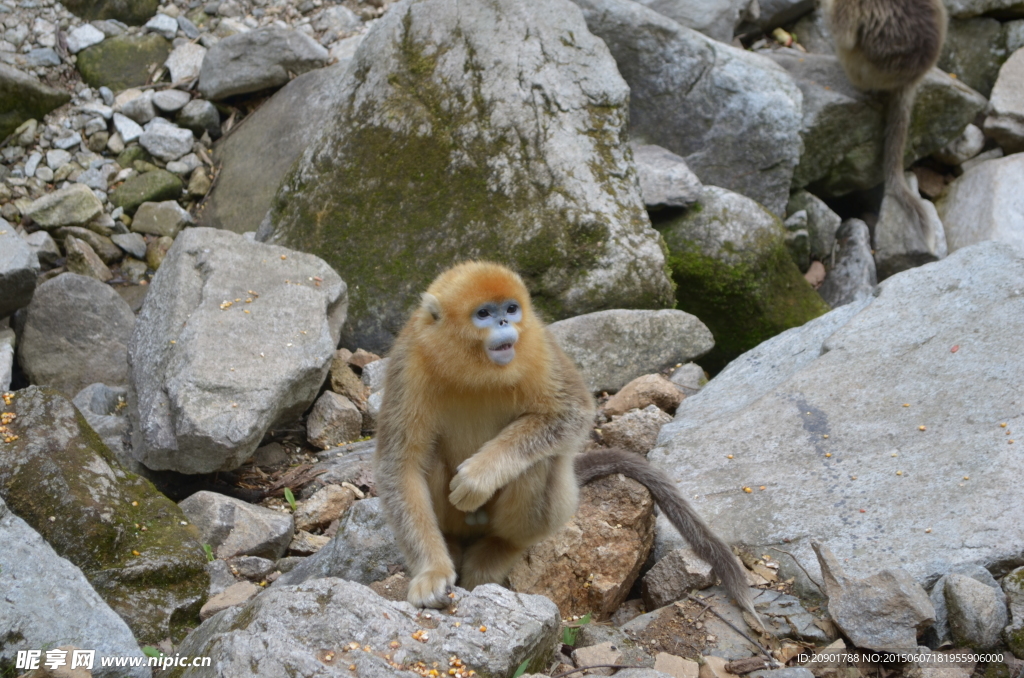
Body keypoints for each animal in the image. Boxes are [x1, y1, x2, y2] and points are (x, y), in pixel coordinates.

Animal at [376, 261, 761, 626]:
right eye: (483, 314)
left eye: (511, 308)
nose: (504, 321)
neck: (475, 370)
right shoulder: (409, 361)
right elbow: (400, 466)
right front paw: (433, 572)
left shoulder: (539, 347)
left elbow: (573, 413)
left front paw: (480, 475)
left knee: (541, 461)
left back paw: (501, 548)